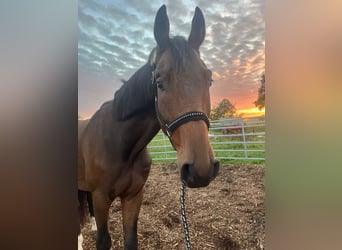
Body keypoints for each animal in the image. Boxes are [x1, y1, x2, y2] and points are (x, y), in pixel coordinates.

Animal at [78, 4, 219, 249]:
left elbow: (130, 239)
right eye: (159, 83)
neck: (121, 146)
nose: (201, 169)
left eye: (208, 80)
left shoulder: (134, 196)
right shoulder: (101, 197)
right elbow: (103, 241)